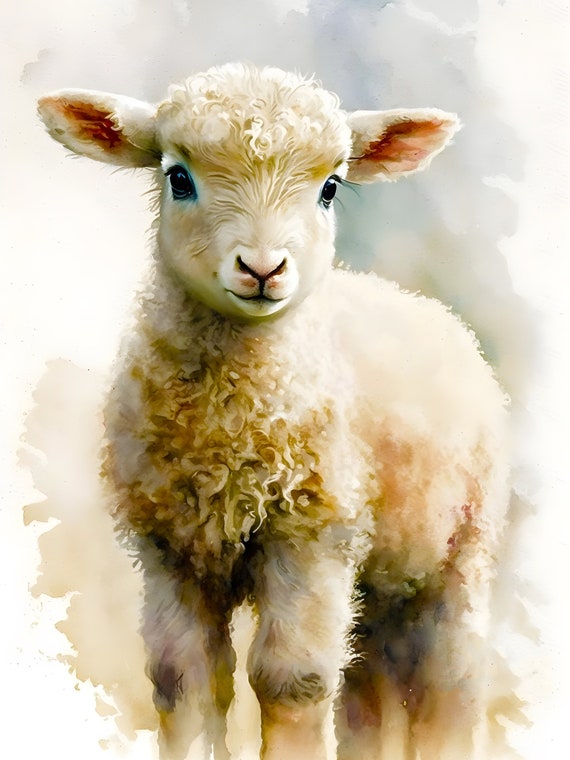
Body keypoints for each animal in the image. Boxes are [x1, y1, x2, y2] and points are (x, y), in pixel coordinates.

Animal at [38, 63, 509, 760]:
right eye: (179, 177)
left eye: (331, 188)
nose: (263, 268)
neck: (229, 433)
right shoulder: (169, 544)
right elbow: (185, 678)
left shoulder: (312, 530)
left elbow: (293, 680)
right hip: (379, 565)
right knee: (368, 686)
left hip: (459, 548)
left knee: (449, 681)